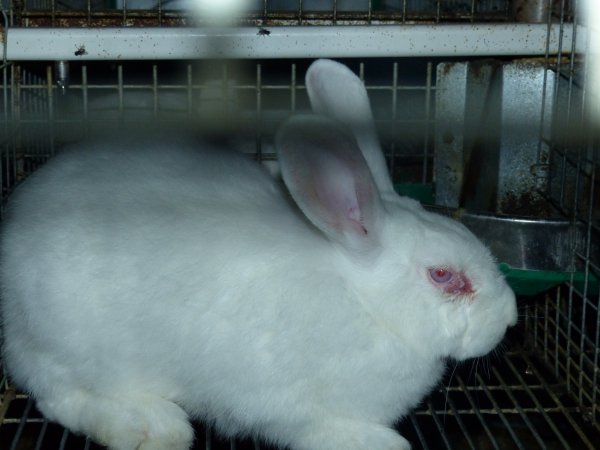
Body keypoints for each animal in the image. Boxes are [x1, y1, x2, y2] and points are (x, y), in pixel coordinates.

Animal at [0, 60, 516, 450]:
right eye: (443, 275)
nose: (510, 318)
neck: (364, 303)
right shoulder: (287, 407)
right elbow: (318, 430)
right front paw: (384, 444)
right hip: (66, 344)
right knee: (59, 397)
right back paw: (153, 427)